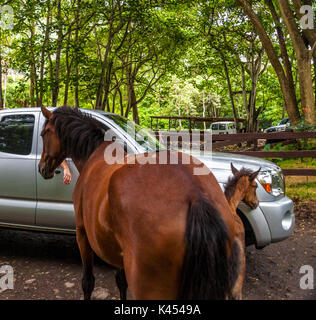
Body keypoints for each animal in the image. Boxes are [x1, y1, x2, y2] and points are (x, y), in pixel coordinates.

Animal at [38, 105, 260, 300]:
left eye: (43, 134)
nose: (42, 167)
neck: (93, 155)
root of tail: (195, 194)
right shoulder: (117, 251)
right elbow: (121, 282)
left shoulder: (82, 234)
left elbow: (88, 282)